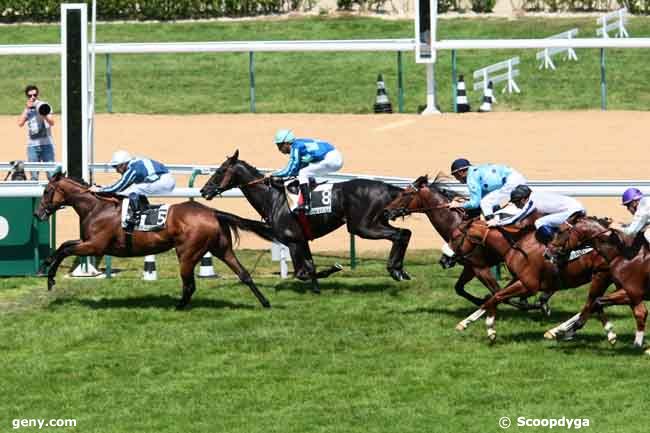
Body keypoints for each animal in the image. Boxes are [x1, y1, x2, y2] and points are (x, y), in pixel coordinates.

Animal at [34, 170, 276, 308]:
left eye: (46, 191)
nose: (38, 213)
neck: (96, 207)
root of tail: (212, 212)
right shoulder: (89, 243)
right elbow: (65, 245)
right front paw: (46, 265)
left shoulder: (95, 246)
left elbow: (66, 249)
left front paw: (49, 276)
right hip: (221, 249)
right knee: (244, 274)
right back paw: (265, 302)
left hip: (187, 254)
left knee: (190, 284)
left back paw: (178, 307)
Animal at [197, 148, 410, 290]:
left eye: (220, 171)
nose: (203, 190)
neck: (273, 198)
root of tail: (387, 187)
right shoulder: (301, 240)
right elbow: (309, 267)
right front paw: (319, 283)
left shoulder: (292, 241)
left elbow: (302, 272)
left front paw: (331, 269)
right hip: (376, 221)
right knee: (405, 233)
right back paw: (400, 270)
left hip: (361, 226)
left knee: (400, 234)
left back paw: (394, 269)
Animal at [544, 216, 644, 352]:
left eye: (559, 231)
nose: (547, 254)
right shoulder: (621, 285)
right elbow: (594, 303)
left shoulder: (602, 275)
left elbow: (591, 302)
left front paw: (610, 333)